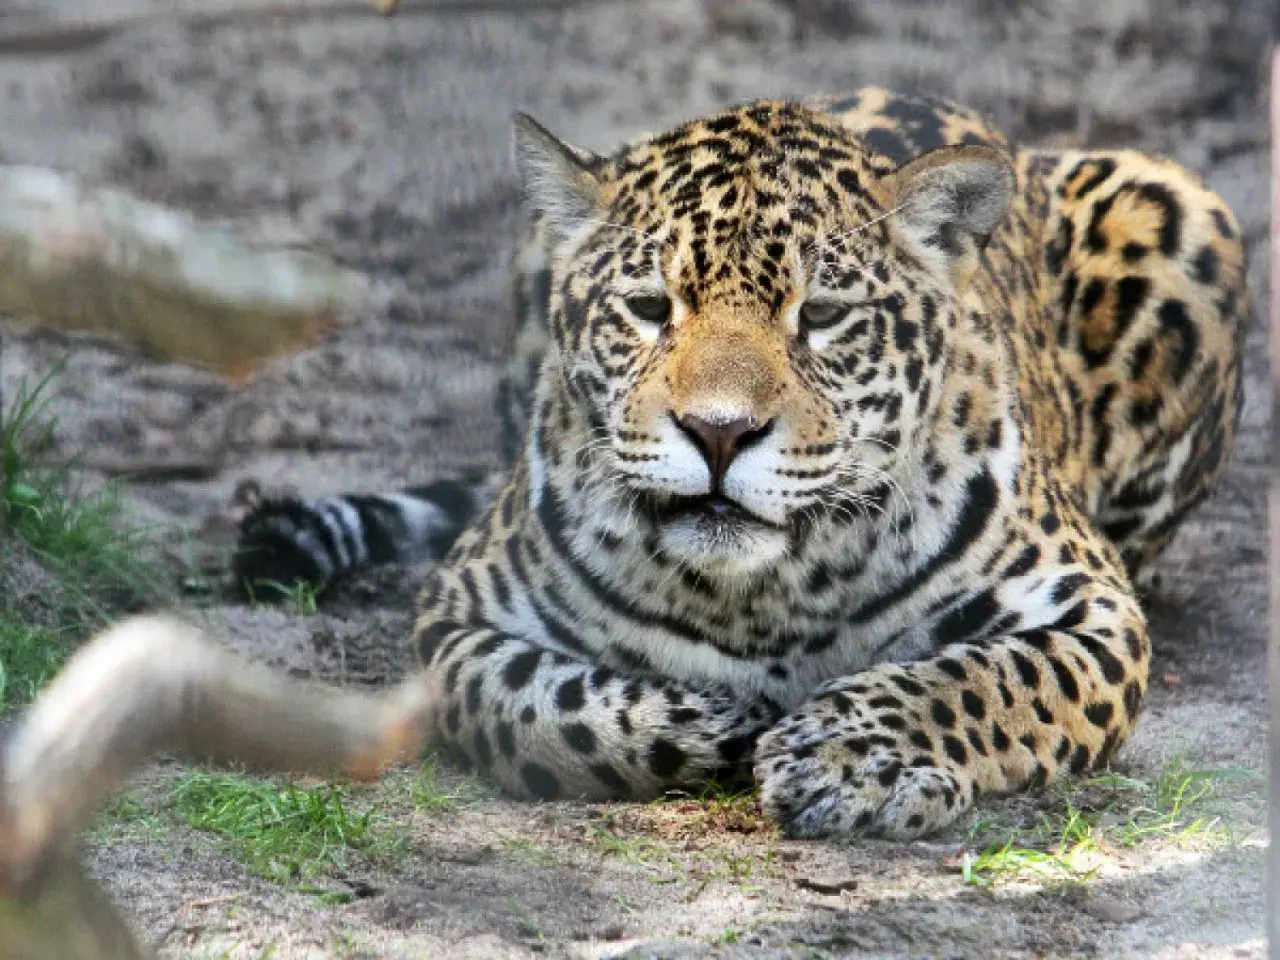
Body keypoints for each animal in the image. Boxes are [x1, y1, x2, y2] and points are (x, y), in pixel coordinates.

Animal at [234, 87, 1250, 839]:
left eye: (824, 315)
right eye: (648, 307)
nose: (719, 433)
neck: (763, 598)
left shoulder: (1092, 609)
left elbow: (986, 680)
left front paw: (851, 756)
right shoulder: (457, 620)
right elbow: (540, 704)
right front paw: (725, 722)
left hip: (1185, 210)